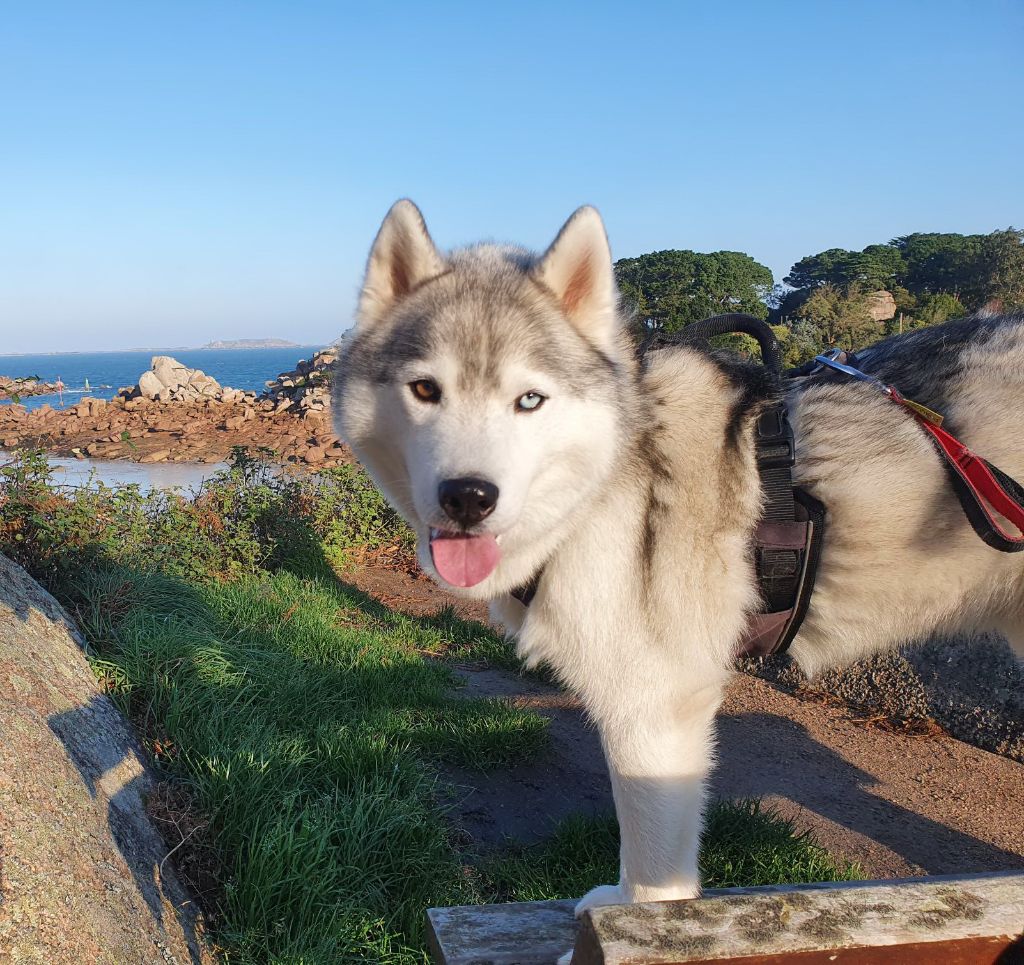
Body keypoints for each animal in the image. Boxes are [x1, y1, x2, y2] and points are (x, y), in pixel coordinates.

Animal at [331, 199, 1019, 934]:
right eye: (425, 389)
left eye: (530, 400)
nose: (469, 496)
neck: (602, 484)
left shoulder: (654, 707)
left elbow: (653, 870)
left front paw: (637, 928)